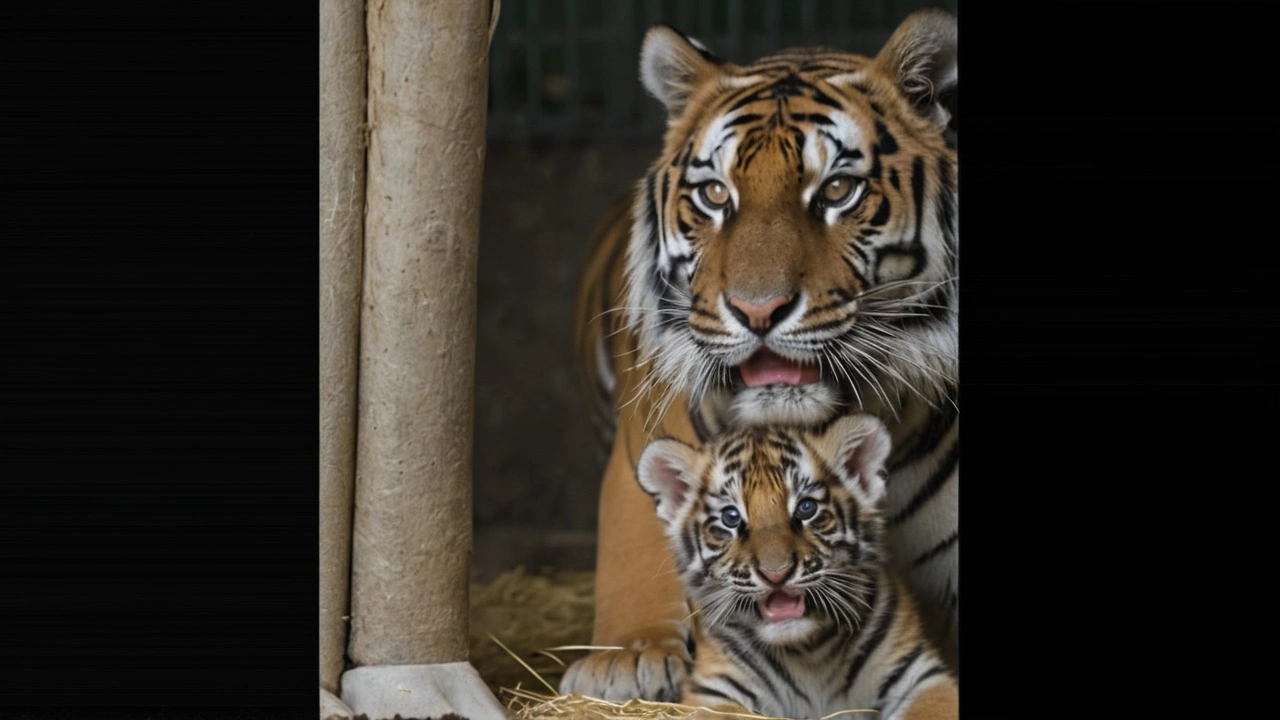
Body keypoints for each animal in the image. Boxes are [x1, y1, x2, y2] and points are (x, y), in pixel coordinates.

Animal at [565, 8, 957, 696]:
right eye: (716, 195)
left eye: (838, 190)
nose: (757, 311)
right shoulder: (645, 444)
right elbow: (636, 550)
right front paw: (627, 659)